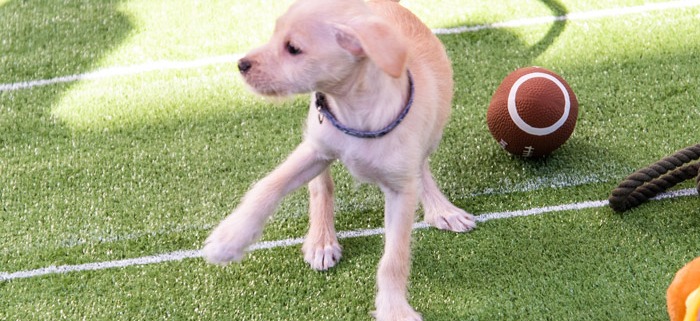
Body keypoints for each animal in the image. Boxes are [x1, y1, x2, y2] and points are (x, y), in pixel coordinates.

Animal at [202, 0, 476, 318]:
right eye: (274, 34)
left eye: (293, 48)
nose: (241, 64)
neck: (355, 111)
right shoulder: (315, 148)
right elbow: (268, 187)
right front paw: (229, 239)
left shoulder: (401, 191)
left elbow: (394, 258)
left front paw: (394, 309)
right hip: (316, 135)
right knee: (321, 184)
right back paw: (321, 240)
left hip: (432, 132)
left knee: (422, 167)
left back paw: (441, 209)